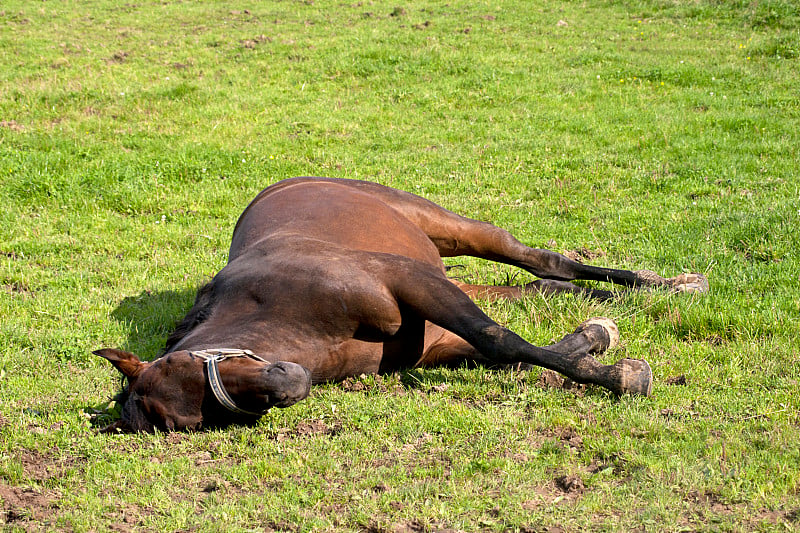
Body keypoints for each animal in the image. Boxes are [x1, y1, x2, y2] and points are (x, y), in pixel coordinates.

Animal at [95, 177, 708, 430]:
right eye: (195, 421)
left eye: (185, 364)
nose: (288, 384)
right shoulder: (429, 338)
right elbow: (509, 349)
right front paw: (596, 342)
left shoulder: (407, 281)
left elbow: (498, 338)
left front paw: (620, 376)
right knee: (542, 285)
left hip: (449, 230)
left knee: (541, 260)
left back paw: (675, 285)